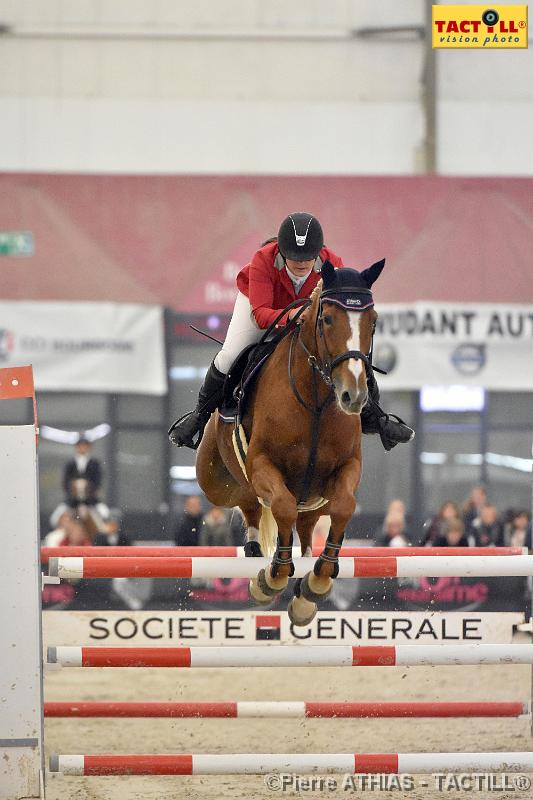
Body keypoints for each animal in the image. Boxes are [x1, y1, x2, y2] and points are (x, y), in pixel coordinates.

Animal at [195, 260, 382, 624]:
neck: (317, 402)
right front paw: (272, 578)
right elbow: (281, 505)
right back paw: (257, 557)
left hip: (313, 499)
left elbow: (344, 506)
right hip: (216, 483)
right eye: (327, 319)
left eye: (374, 320)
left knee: (306, 526)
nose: (353, 396)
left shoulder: (346, 468)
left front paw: (319, 578)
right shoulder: (262, 464)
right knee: (250, 501)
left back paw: (306, 588)